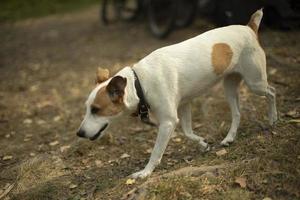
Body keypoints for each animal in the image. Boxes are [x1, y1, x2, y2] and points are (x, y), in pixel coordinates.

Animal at [77, 8, 276, 179]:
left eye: (96, 110)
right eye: (87, 108)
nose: (79, 133)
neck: (139, 82)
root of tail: (249, 28)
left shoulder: (167, 122)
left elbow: (156, 152)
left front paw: (145, 172)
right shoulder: (183, 106)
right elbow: (187, 132)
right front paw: (202, 143)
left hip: (255, 83)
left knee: (272, 92)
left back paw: (273, 119)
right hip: (229, 88)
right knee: (237, 113)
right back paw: (229, 138)